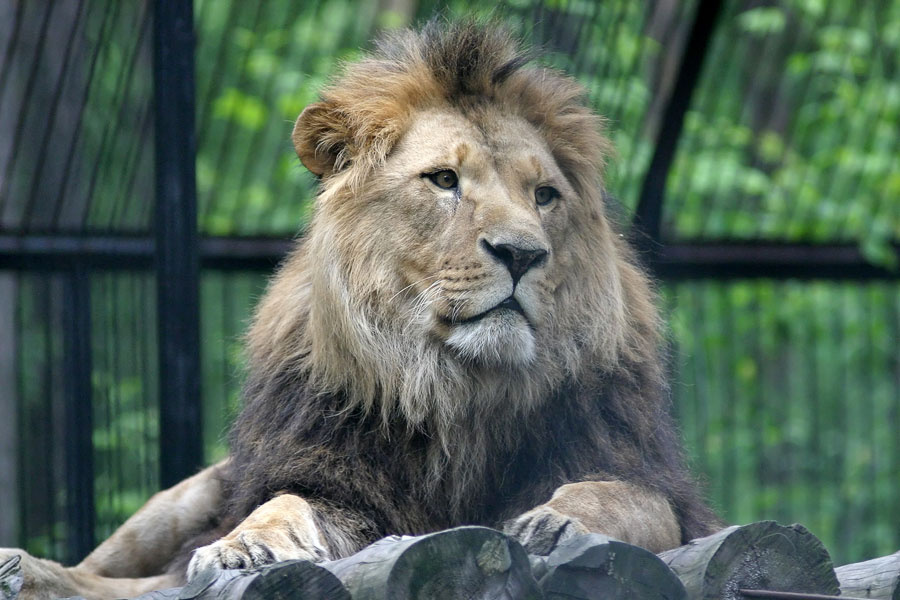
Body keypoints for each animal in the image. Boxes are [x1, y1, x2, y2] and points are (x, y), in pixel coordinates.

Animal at [1, 20, 719, 600]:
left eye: (544, 195)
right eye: (443, 180)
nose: (523, 254)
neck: (457, 389)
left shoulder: (648, 477)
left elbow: (622, 498)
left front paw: (560, 520)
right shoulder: (334, 482)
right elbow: (284, 504)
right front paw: (245, 545)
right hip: (182, 499)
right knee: (118, 574)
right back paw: (25, 567)